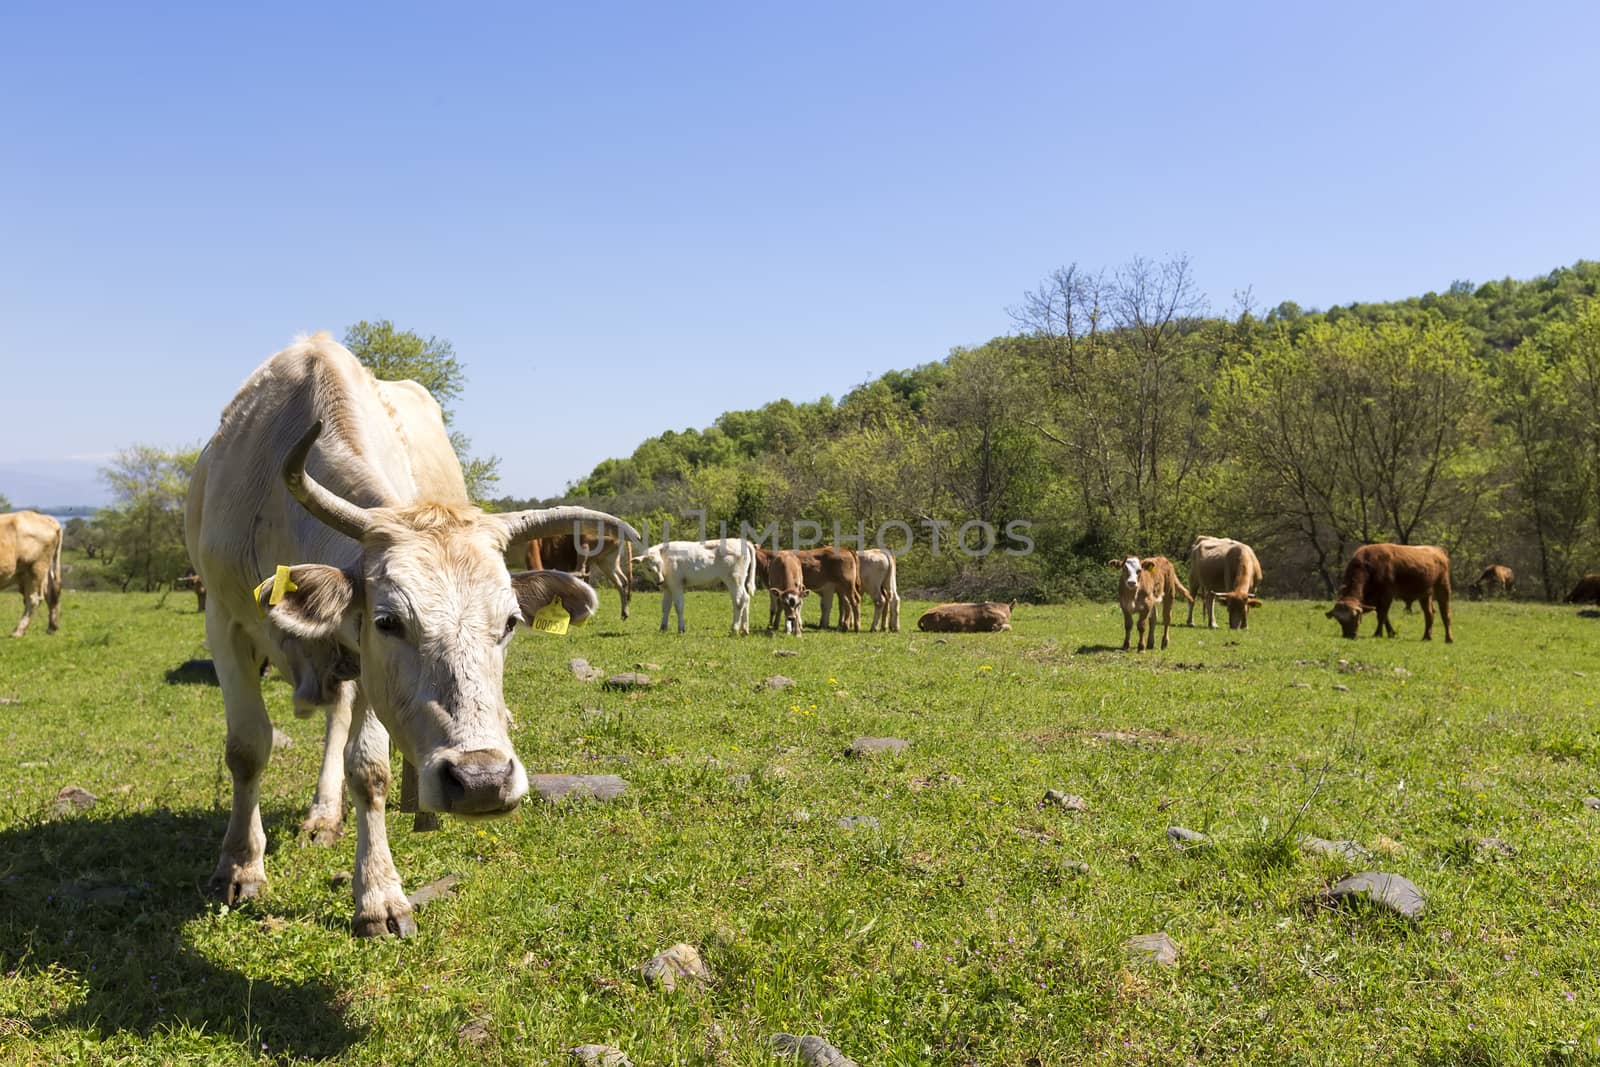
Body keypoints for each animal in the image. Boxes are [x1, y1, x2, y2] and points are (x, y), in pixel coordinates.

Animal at [0, 511, 64, 639]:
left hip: (35, 569)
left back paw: (18, 631)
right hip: (38, 572)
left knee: (33, 599)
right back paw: (52, 627)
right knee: (50, 593)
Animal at [187, 331, 636, 934]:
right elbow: (247, 748)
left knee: (340, 723)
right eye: (389, 621)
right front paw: (239, 866)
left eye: (510, 623)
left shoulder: (364, 662)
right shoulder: (226, 622)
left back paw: (325, 815)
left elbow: (369, 768)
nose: (481, 780)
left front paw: (378, 894)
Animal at [1324, 543, 1452, 643]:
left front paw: (1378, 634)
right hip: (1425, 594)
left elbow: (1382, 615)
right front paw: (1391, 633)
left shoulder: (1387, 595)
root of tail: (1437, 550)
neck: (1368, 566)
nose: (1348, 635)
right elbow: (1384, 616)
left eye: (1355, 617)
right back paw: (1426, 637)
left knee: (1445, 614)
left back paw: (1448, 639)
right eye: (1339, 620)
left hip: (1443, 588)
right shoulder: (1374, 600)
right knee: (1429, 614)